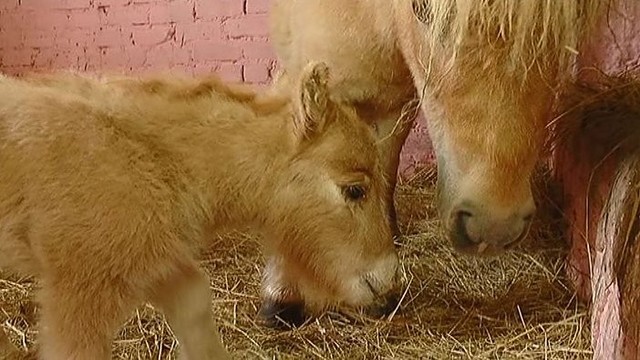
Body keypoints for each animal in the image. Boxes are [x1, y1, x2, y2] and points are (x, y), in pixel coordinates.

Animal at [0, 63, 400, 358]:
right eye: (355, 190)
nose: (387, 280)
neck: (142, 156)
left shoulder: (156, 260)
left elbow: (194, 304)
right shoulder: (80, 290)